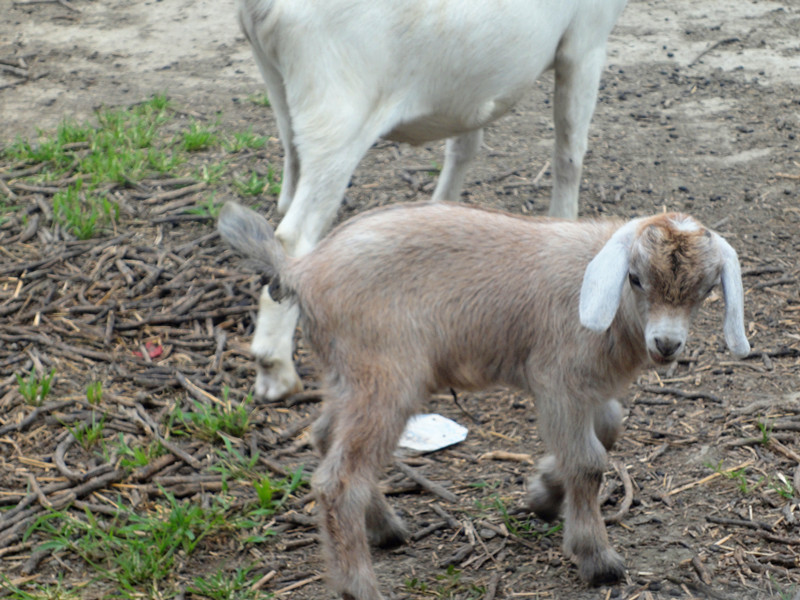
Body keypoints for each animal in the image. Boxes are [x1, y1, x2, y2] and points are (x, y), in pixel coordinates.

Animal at [218, 201, 750, 598]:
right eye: (636, 278)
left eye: (705, 289)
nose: (667, 345)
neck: (614, 308)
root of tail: (302, 270)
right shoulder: (557, 379)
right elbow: (588, 462)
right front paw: (597, 559)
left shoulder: (586, 388)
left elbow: (609, 430)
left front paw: (542, 495)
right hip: (386, 373)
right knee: (338, 480)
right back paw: (359, 586)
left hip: (347, 372)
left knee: (326, 435)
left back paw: (385, 528)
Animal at [237, 0, 629, 400]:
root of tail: (265, 9)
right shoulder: (584, 43)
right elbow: (569, 153)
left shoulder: (475, 85)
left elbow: (464, 146)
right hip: (338, 113)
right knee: (294, 236)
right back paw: (275, 368)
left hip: (283, 94)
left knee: (286, 196)